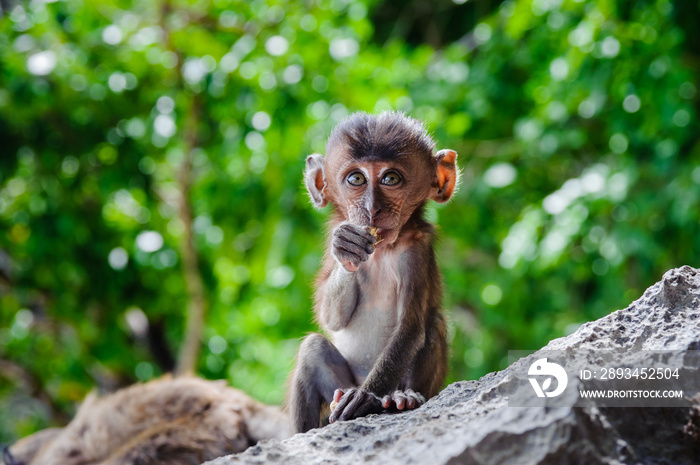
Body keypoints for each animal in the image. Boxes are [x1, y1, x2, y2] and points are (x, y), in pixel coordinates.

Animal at [288, 111, 456, 432]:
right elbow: (331, 319)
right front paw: (347, 248)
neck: (382, 249)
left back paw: (402, 397)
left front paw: (365, 397)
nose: (372, 208)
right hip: (337, 389)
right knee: (313, 347)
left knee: (433, 323)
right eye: (356, 179)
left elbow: (410, 328)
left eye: (391, 179)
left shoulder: (416, 253)